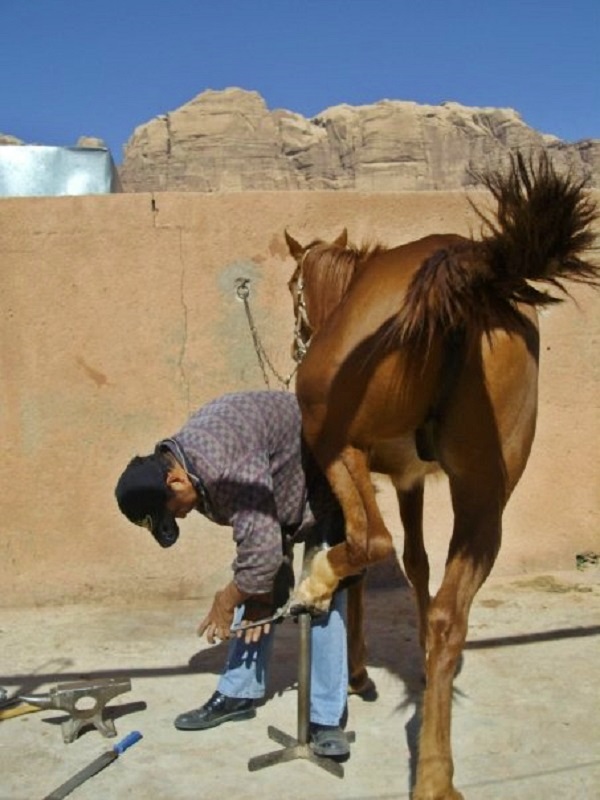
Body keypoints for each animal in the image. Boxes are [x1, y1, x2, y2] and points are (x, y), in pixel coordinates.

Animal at [284, 152, 596, 800]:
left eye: (292, 288)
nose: (296, 340)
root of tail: (462, 276)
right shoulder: (411, 481)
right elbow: (420, 564)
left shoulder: (371, 473)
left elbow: (371, 561)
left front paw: (357, 670)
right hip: (484, 499)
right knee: (451, 616)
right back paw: (434, 773)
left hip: (337, 444)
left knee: (371, 542)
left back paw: (316, 584)